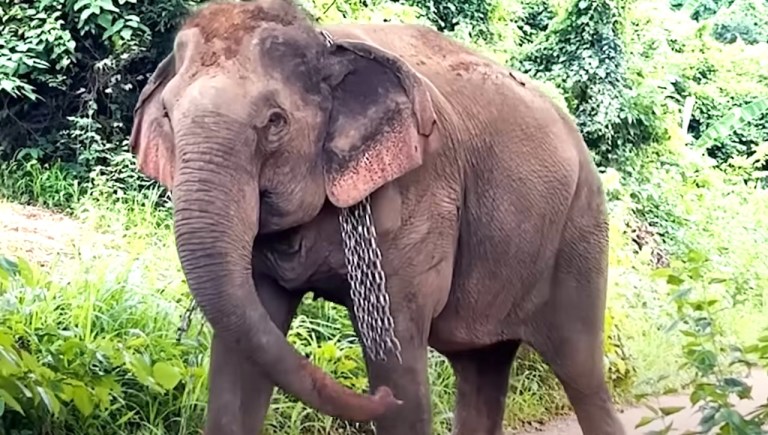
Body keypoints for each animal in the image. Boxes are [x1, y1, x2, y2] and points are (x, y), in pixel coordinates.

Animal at [129, 0, 628, 435]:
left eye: (275, 122)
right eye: (168, 115)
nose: (378, 398)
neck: (326, 43)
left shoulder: (420, 195)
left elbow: (395, 352)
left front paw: (393, 391)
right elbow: (241, 359)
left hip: (581, 227)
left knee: (581, 369)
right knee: (481, 367)